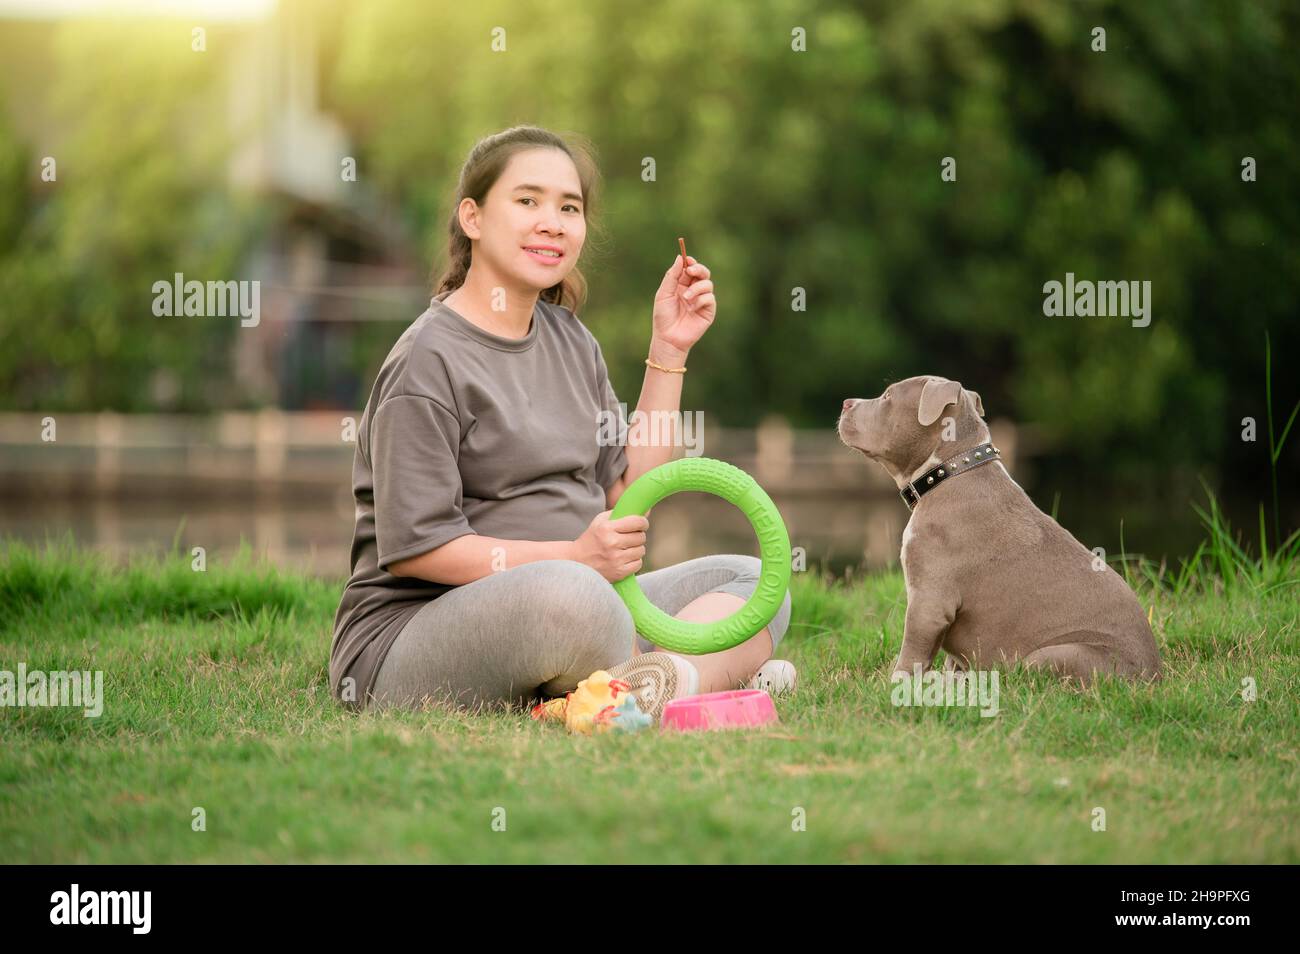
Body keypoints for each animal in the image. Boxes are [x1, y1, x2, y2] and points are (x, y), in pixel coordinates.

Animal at [837, 374, 1164, 686]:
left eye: (888, 396)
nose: (845, 403)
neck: (951, 468)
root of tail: (1152, 675)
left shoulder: (929, 601)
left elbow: (912, 650)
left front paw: (896, 683)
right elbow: (947, 658)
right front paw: (945, 678)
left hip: (1052, 656)